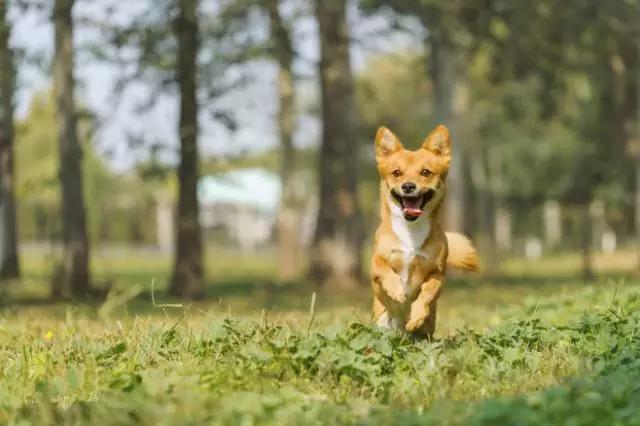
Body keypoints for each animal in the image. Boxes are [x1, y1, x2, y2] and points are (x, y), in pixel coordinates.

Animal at [368, 125, 478, 338]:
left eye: (426, 172)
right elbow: (382, 268)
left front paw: (417, 316)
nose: (408, 186)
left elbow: (427, 292)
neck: (411, 228)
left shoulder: (438, 273)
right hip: (381, 322)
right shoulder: (376, 263)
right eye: (397, 173)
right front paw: (397, 290)